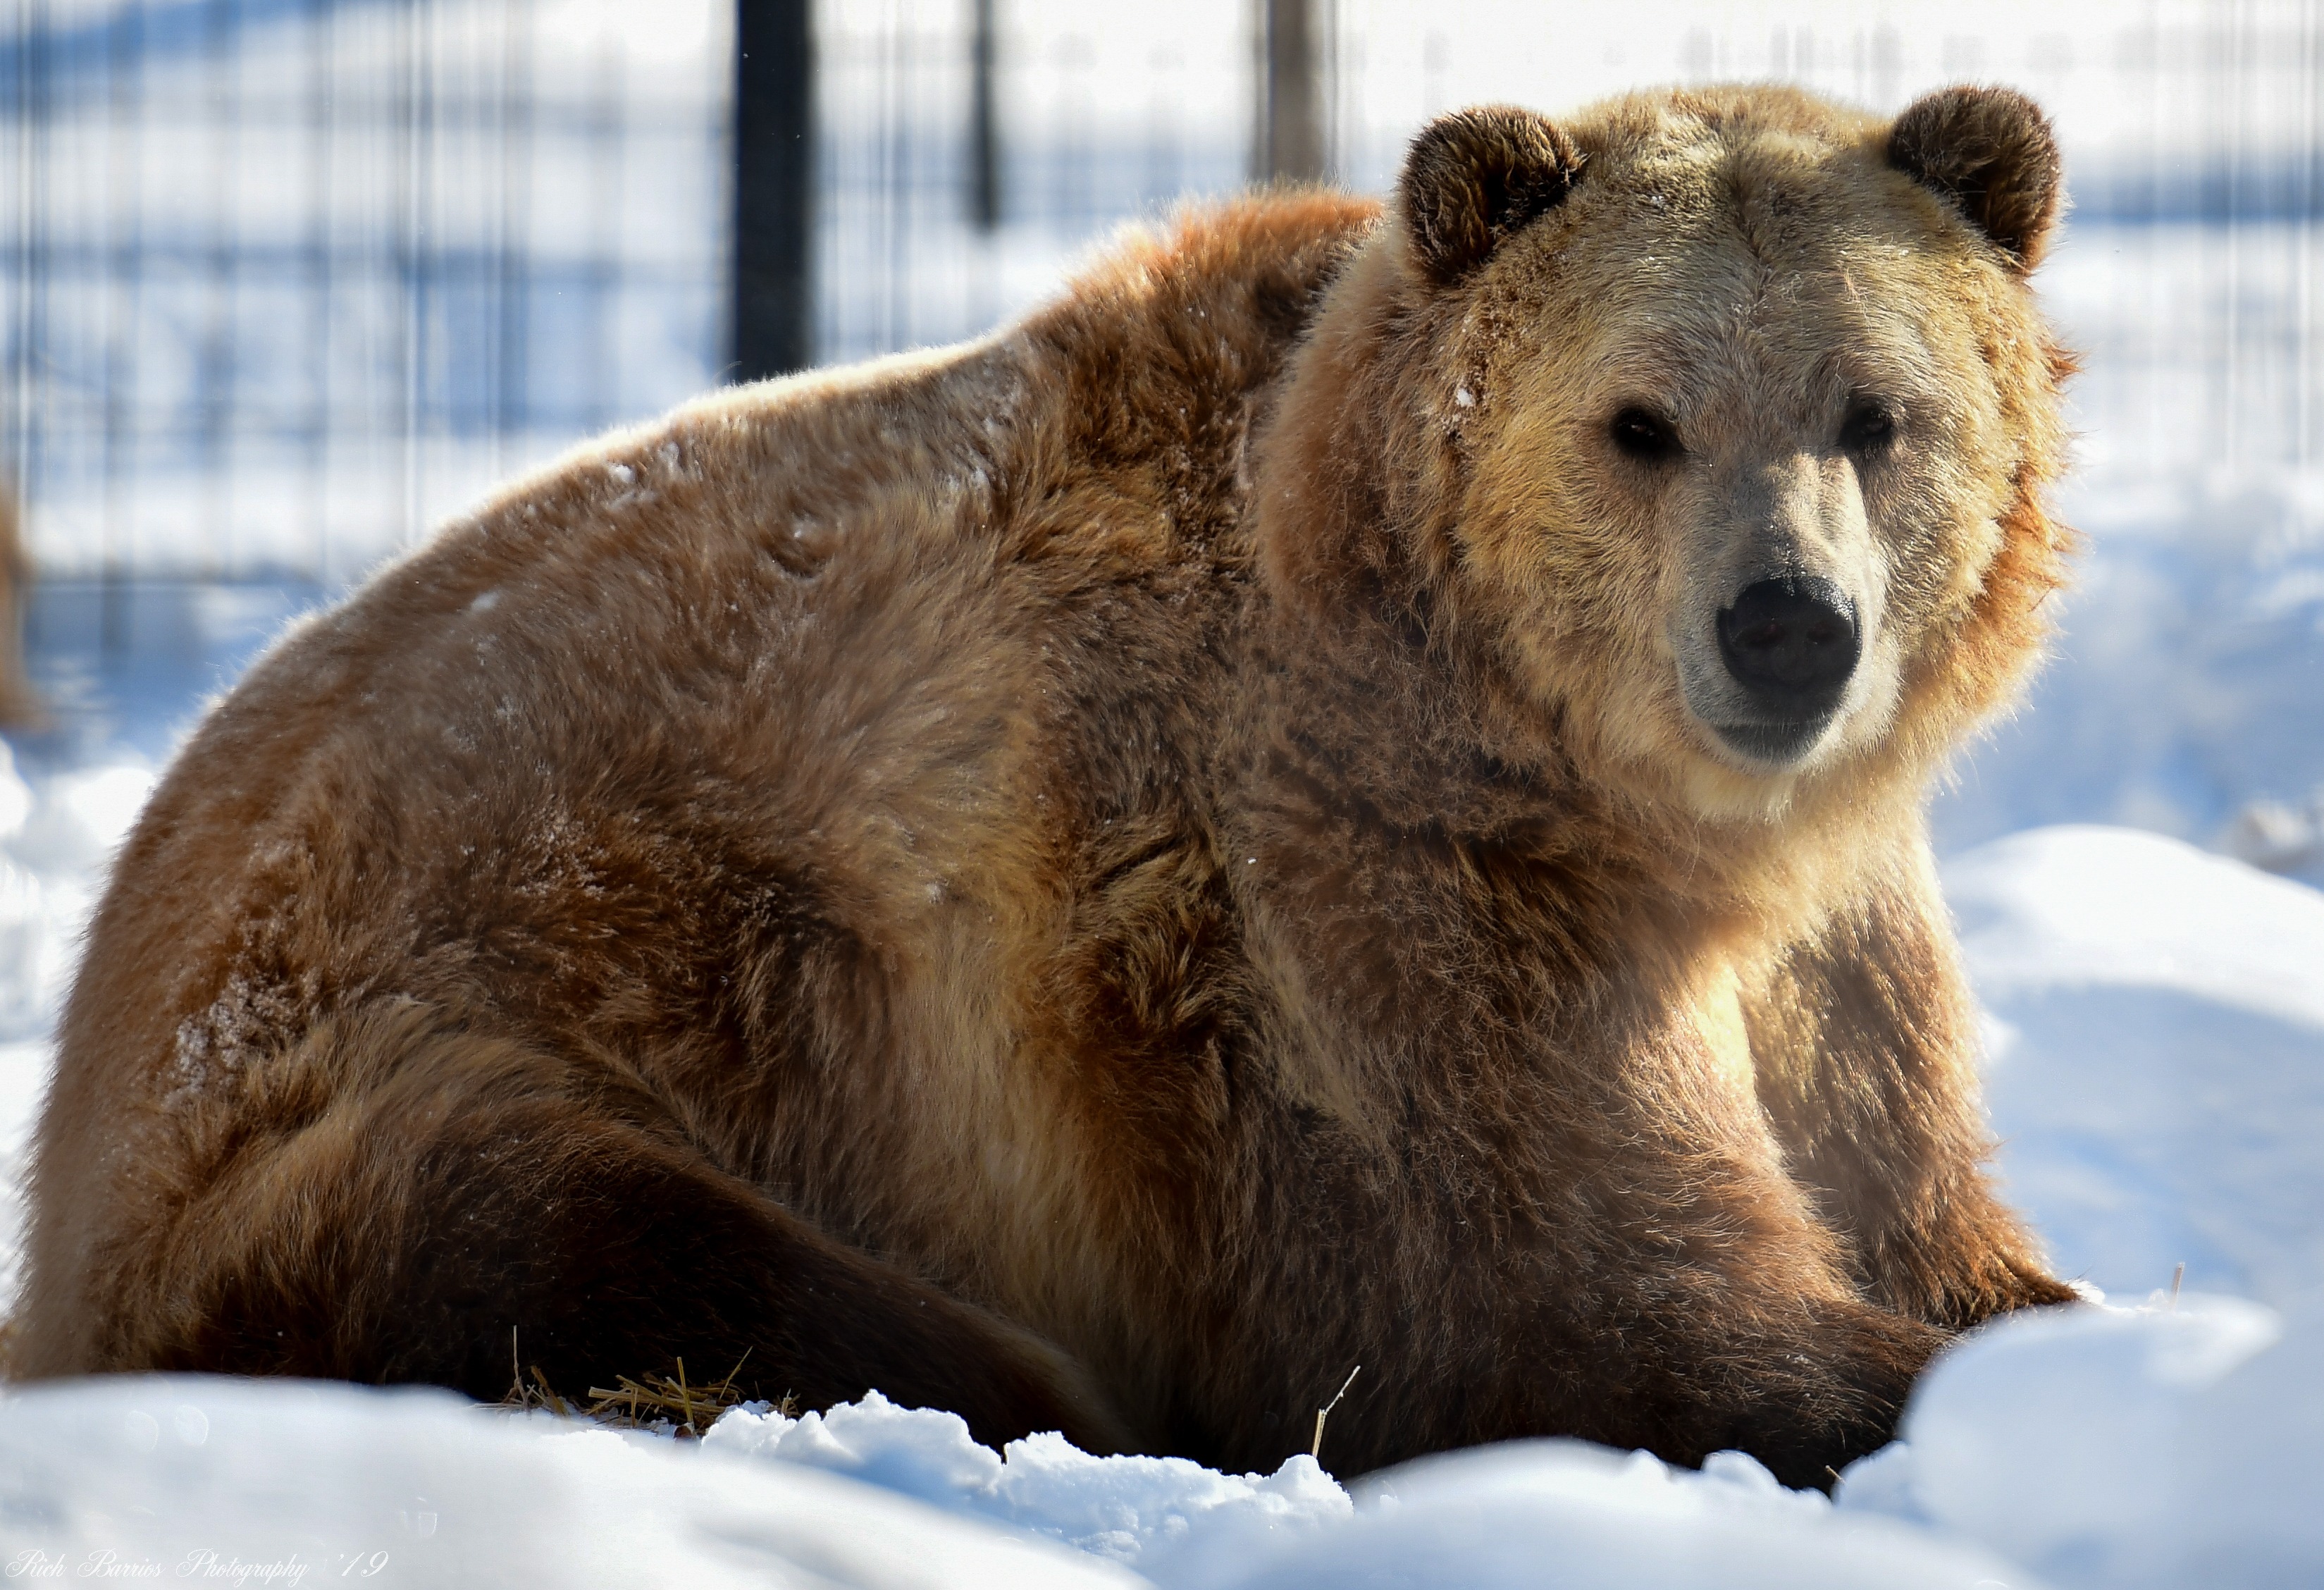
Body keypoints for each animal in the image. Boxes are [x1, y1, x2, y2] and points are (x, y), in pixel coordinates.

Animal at [18, 80, 2082, 1487]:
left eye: (1876, 412)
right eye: (1637, 421)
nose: (1786, 626)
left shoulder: (1836, 959)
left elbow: (1918, 1205)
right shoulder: (1373, 906)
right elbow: (1600, 1293)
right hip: (419, 1052)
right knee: (599, 1230)